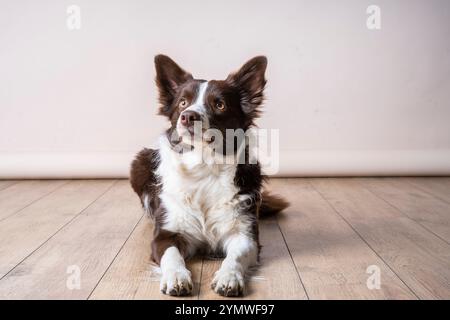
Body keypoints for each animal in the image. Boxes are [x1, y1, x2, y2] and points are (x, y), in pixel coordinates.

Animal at [130, 55, 288, 298]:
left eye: (219, 104)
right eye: (183, 103)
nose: (188, 116)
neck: (203, 166)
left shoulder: (245, 234)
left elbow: (236, 256)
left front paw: (229, 277)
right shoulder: (165, 234)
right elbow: (171, 255)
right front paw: (177, 277)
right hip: (140, 163)